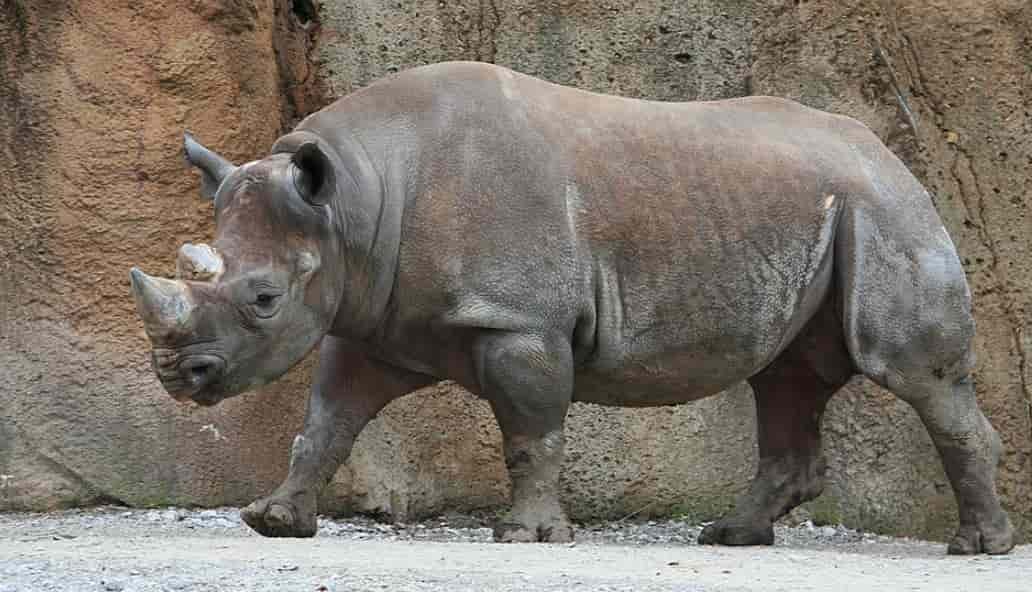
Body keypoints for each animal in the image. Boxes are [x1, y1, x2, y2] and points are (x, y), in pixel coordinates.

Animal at [130, 61, 1014, 554]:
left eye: (264, 299)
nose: (178, 376)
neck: (353, 201)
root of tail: (891, 153)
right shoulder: (374, 318)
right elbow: (327, 421)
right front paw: (275, 521)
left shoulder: (517, 318)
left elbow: (531, 430)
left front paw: (525, 536)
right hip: (828, 208)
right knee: (786, 377)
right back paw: (732, 538)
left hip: (886, 213)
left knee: (911, 372)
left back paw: (977, 548)